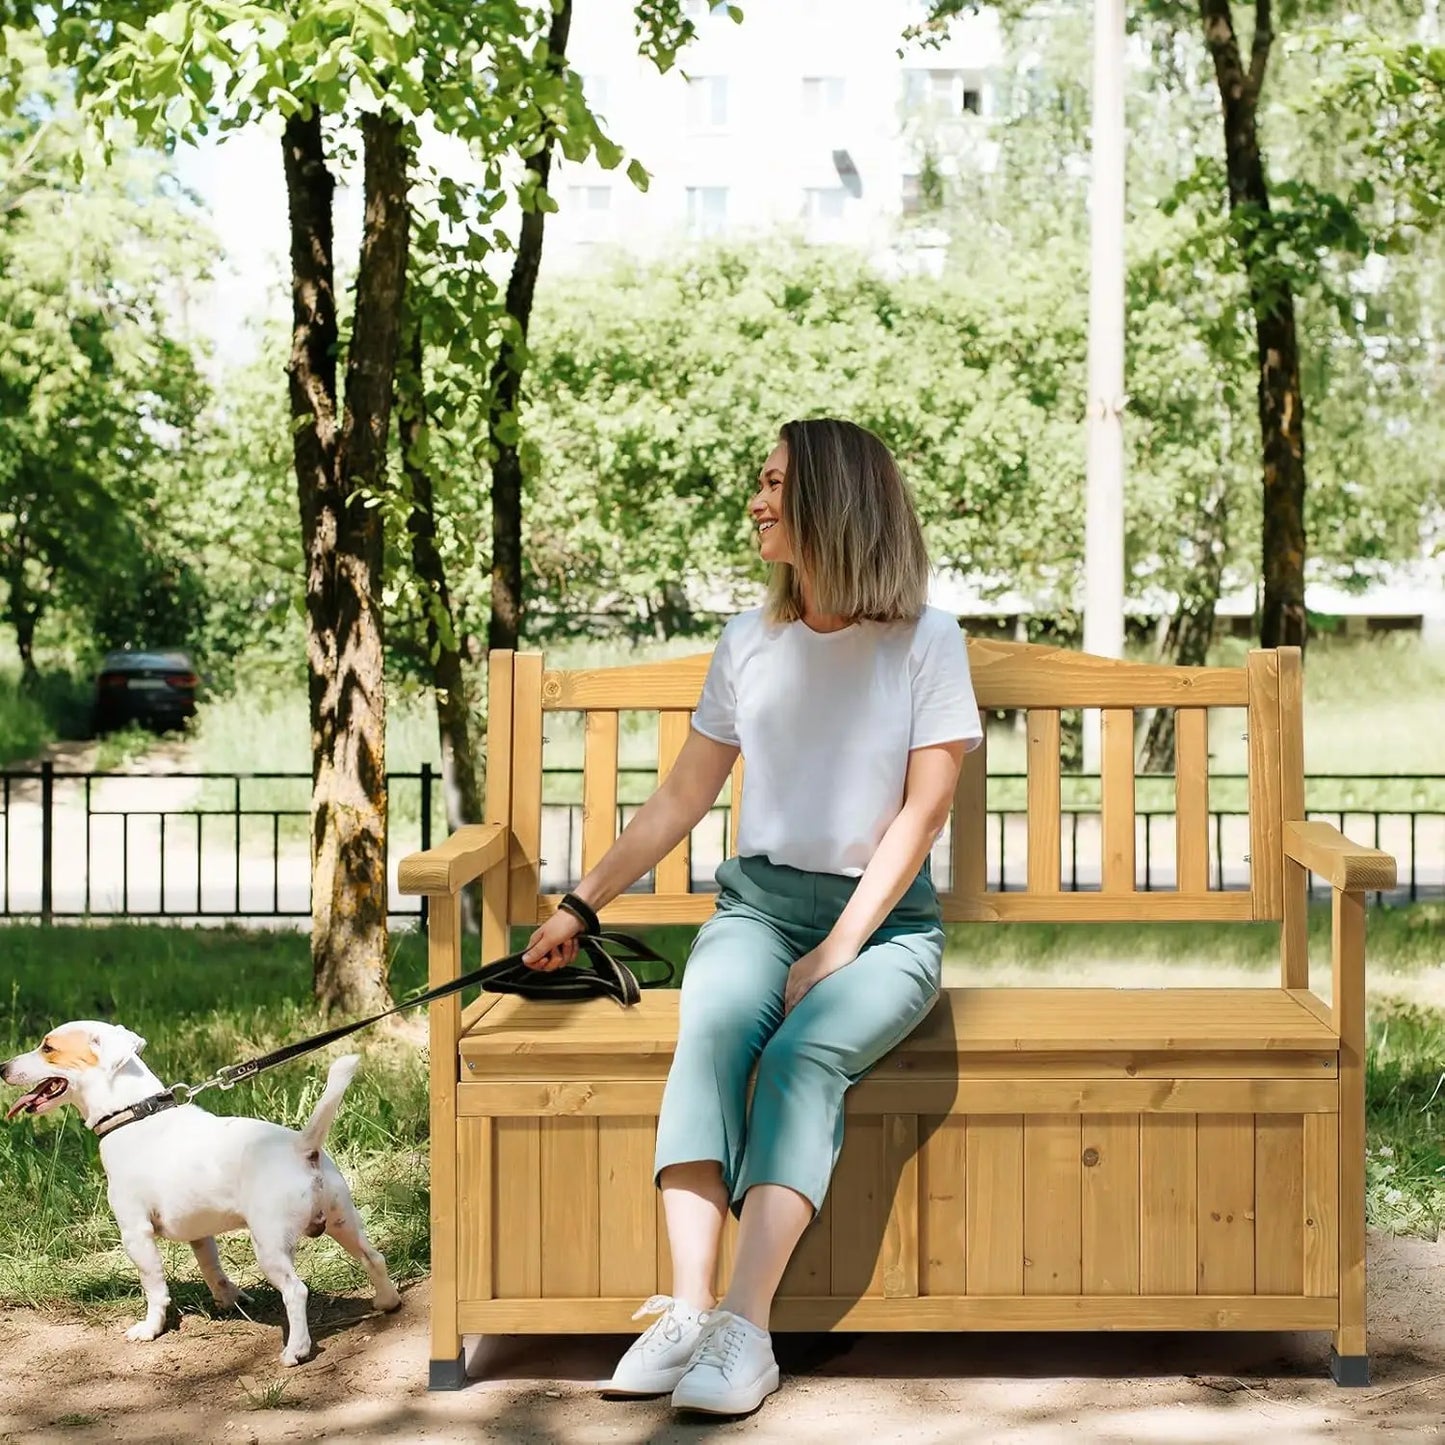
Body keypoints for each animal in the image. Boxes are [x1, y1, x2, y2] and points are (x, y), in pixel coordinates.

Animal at [7, 1017, 401, 1364]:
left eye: (47, 1048)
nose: (2, 1067)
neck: (132, 1113)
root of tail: (302, 1148)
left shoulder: (136, 1234)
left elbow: (154, 1288)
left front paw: (150, 1329)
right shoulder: (199, 1233)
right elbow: (212, 1268)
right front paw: (230, 1300)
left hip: (270, 1245)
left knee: (296, 1290)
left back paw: (296, 1351)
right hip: (343, 1223)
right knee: (374, 1258)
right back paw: (388, 1302)